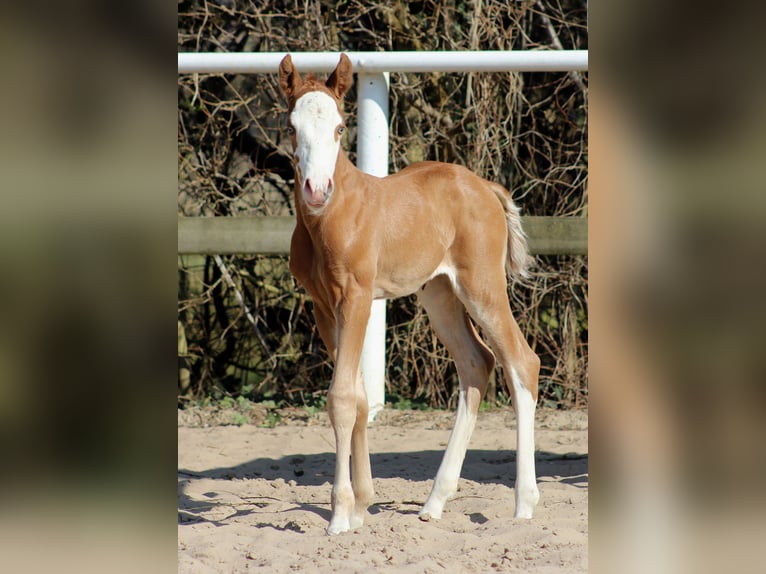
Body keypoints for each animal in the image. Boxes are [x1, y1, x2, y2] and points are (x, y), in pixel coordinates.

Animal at [280, 53, 540, 536]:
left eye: (340, 127)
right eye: (291, 127)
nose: (317, 190)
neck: (332, 218)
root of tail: (486, 188)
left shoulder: (357, 298)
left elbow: (342, 399)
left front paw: (340, 514)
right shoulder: (324, 307)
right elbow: (359, 397)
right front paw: (361, 506)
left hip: (481, 286)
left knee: (521, 361)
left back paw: (523, 505)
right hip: (439, 293)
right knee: (477, 363)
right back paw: (435, 501)